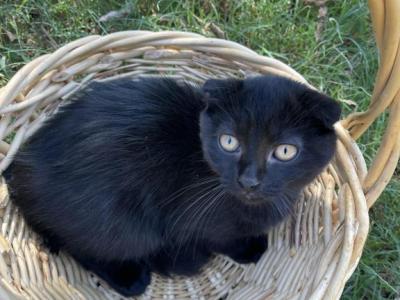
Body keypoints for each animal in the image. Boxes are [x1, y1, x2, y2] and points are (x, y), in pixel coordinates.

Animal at [3, 74, 340, 296]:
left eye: (284, 151)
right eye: (229, 142)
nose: (249, 181)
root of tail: (20, 169)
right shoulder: (196, 222)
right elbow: (220, 238)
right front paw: (248, 247)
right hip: (118, 223)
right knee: (80, 244)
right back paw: (129, 279)